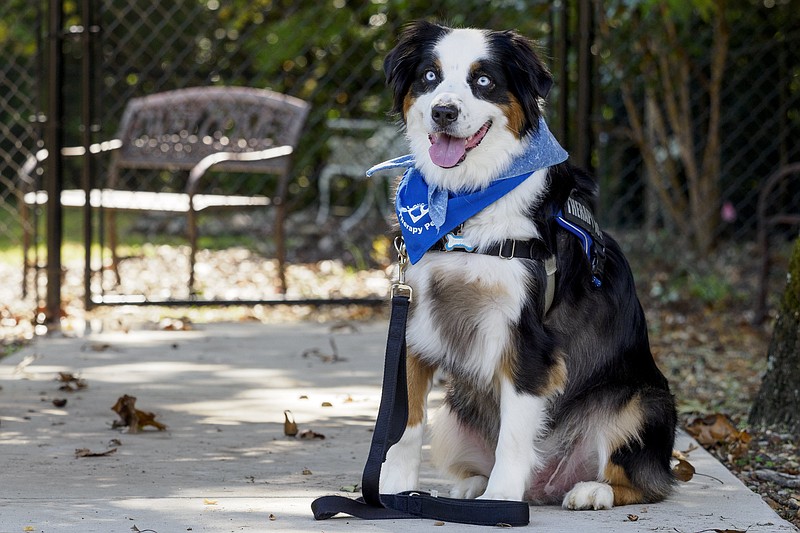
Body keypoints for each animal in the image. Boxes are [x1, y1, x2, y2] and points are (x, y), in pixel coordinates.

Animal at [374, 20, 676, 510]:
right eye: (430, 77)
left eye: (483, 81)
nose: (443, 112)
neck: (468, 202)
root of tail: (547, 486)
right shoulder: (414, 320)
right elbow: (406, 425)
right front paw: (394, 490)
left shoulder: (529, 340)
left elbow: (514, 436)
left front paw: (500, 500)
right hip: (454, 416)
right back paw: (473, 485)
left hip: (646, 402)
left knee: (646, 482)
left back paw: (591, 490)